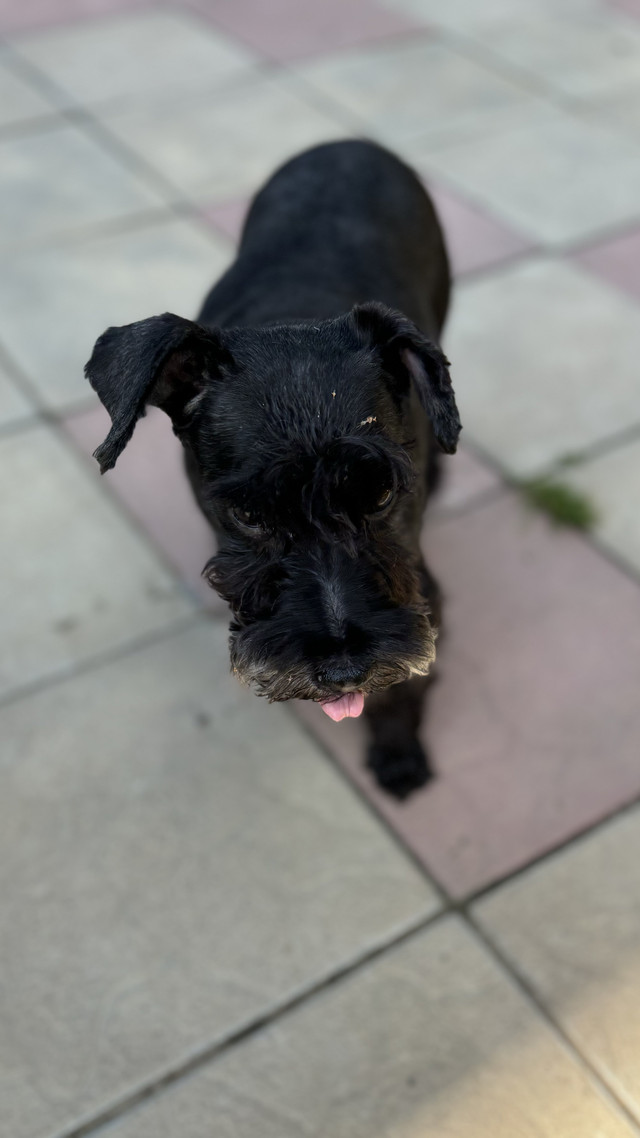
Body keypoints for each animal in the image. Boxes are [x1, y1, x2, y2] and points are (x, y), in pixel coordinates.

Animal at [85, 139, 461, 800]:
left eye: (382, 494)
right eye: (247, 513)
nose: (344, 669)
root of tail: (352, 141)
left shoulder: (423, 594)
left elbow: (406, 685)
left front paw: (398, 751)